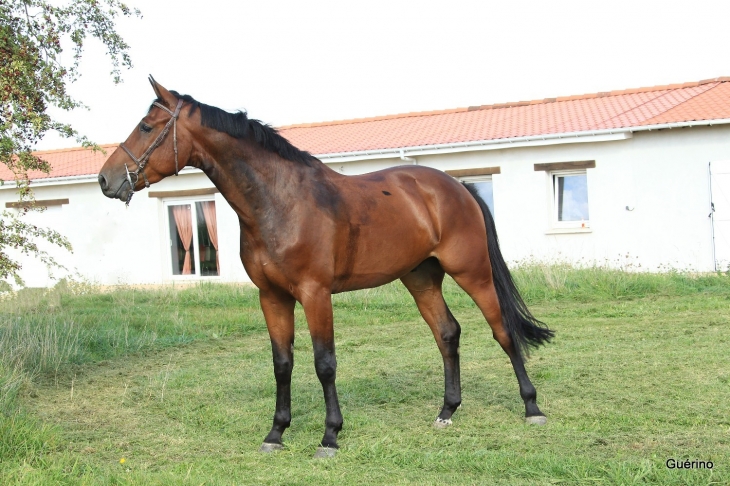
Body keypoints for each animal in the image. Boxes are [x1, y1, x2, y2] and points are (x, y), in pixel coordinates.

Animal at [96, 75, 552, 456]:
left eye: (147, 127)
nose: (105, 179)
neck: (279, 202)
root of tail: (457, 187)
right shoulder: (272, 297)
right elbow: (282, 364)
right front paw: (276, 433)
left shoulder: (315, 294)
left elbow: (324, 363)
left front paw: (330, 436)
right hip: (421, 278)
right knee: (447, 334)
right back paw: (446, 412)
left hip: (473, 273)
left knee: (502, 330)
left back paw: (532, 408)